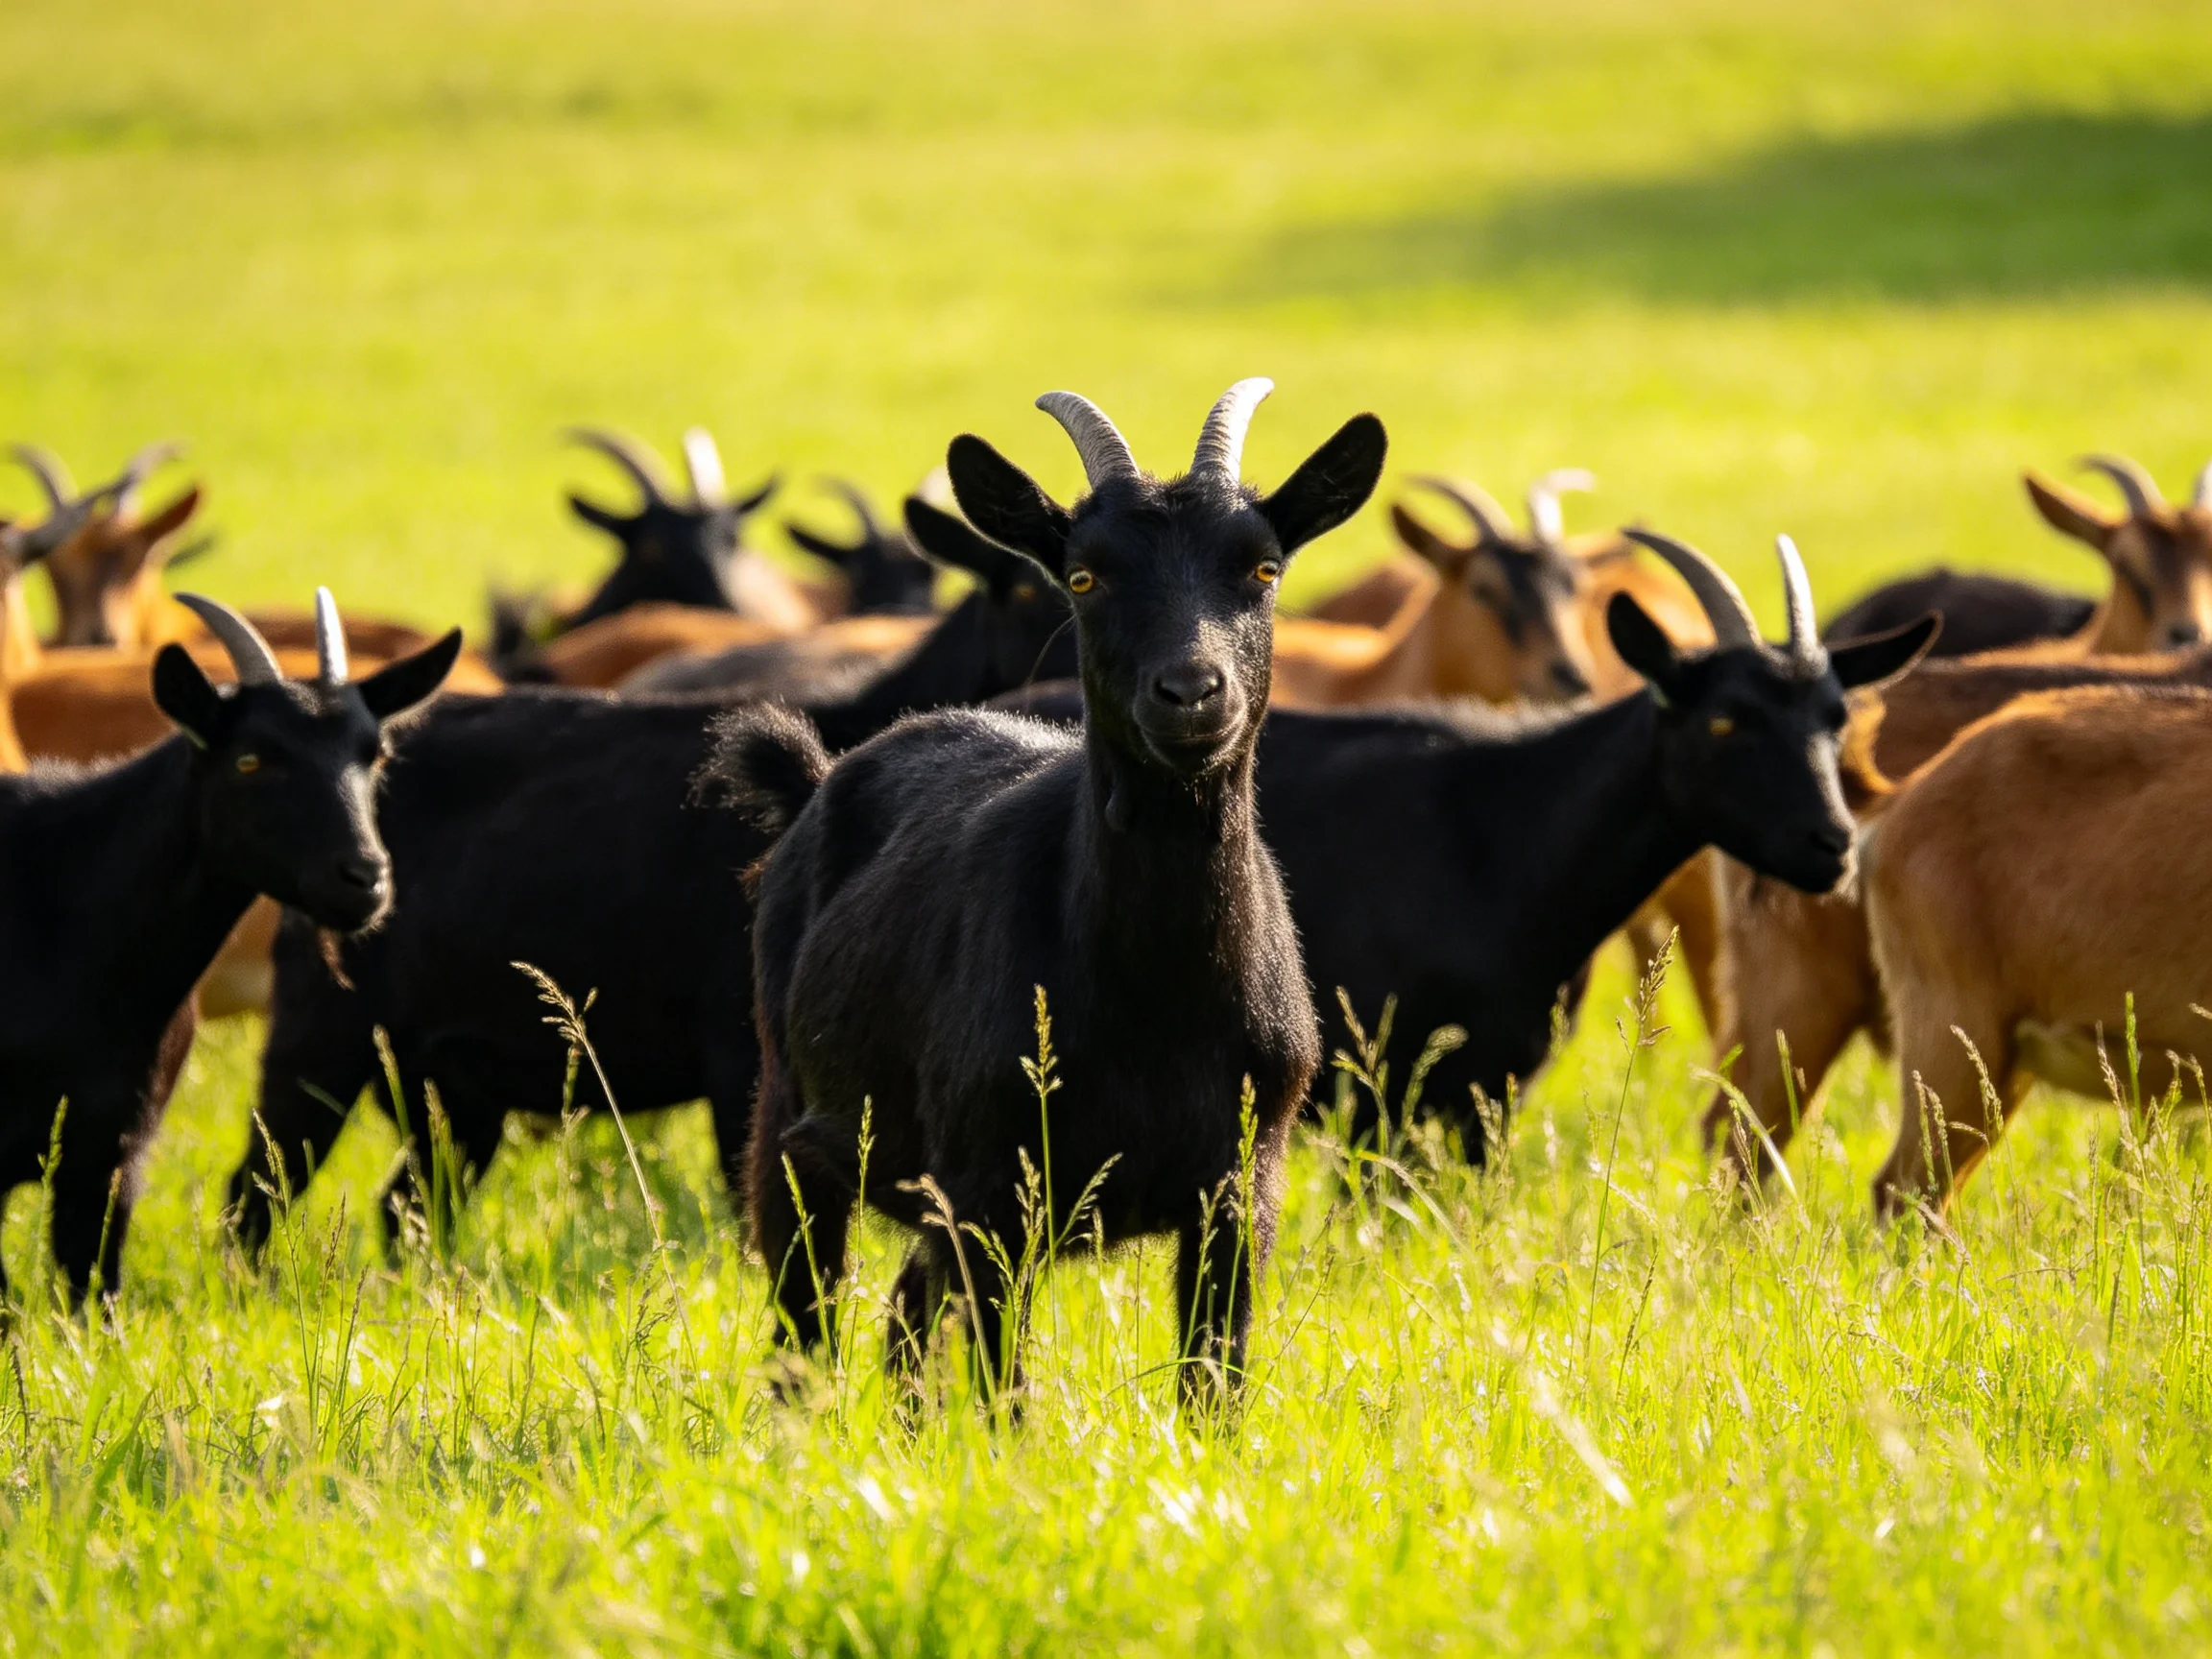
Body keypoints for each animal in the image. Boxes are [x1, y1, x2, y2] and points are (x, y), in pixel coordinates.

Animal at [226, 493, 1079, 1252]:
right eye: (1026, 584)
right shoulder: (739, 1051)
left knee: (407, 1205)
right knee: (256, 1194)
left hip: (450, 1081)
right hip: (320, 1035)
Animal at [725, 381, 1381, 1410]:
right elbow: (1004, 1390)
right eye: (1081, 578)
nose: (1192, 692)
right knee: (807, 1324)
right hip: (798, 1123)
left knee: (905, 1313)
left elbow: (1213, 1384)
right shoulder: (996, 1191)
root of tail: (820, 776)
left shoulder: (1243, 1187)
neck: (1156, 998)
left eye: (1265, 568)